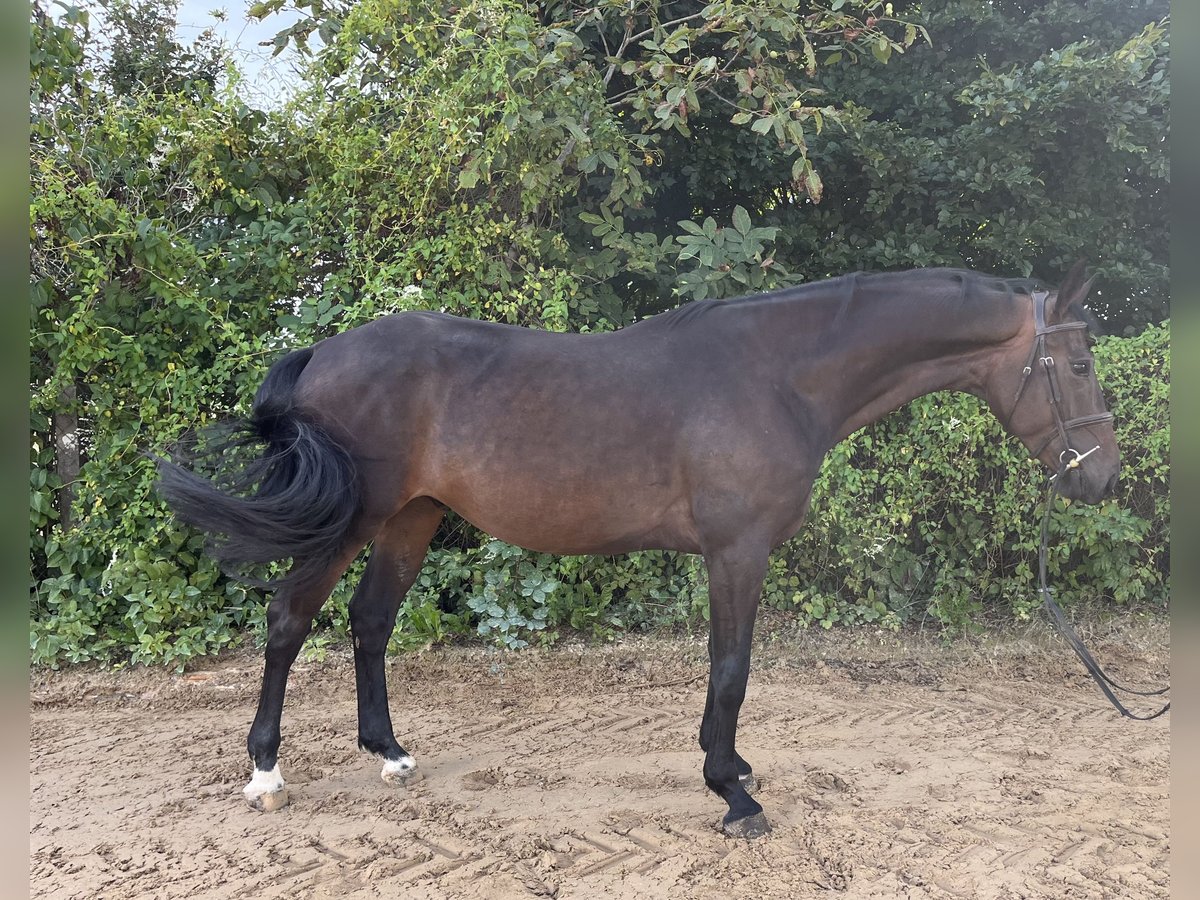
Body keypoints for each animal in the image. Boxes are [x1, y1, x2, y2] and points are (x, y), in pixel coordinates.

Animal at [154, 260, 1118, 840]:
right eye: (1075, 365)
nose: (1103, 477)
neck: (778, 375)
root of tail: (325, 353)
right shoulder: (738, 551)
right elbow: (731, 668)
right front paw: (733, 792)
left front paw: (732, 772)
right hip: (357, 519)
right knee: (290, 618)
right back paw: (266, 773)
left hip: (413, 519)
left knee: (369, 622)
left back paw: (389, 753)